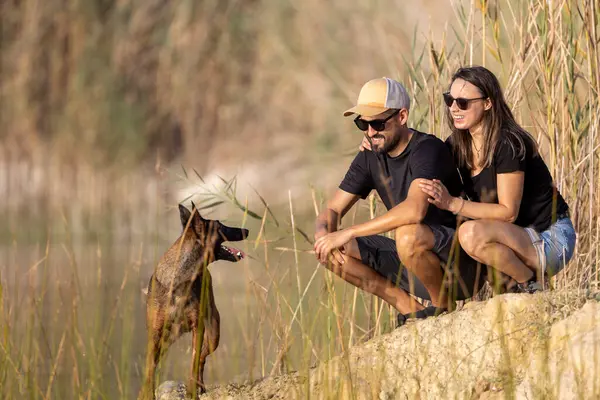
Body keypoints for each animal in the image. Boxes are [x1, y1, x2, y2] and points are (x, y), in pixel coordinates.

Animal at [137, 205, 247, 398]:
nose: (246, 230)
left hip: (213, 334)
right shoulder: (155, 333)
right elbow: (150, 369)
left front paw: (191, 390)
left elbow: (194, 361)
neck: (180, 279)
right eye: (221, 226)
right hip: (165, 341)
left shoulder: (198, 328)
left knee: (202, 358)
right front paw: (147, 394)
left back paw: (199, 386)